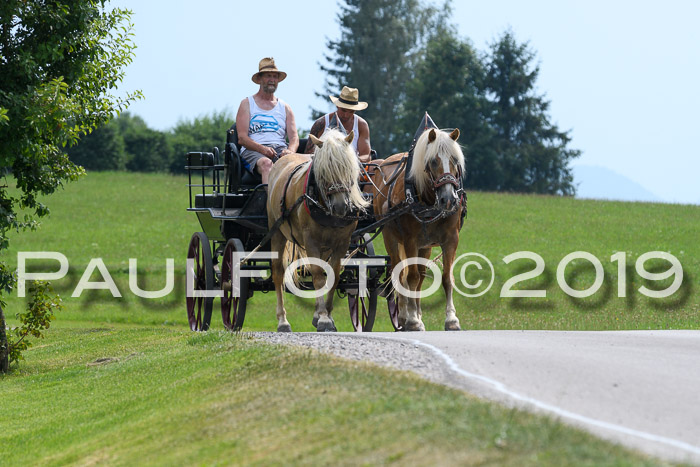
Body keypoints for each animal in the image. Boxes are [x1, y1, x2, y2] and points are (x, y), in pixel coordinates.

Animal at [266, 128, 370, 332]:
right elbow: (317, 275)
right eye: (323, 172)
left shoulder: (342, 242)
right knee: (278, 272)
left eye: (349, 169)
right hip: (277, 232)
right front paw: (323, 318)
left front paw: (326, 313)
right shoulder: (311, 240)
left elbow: (333, 275)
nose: (340, 207)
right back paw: (283, 320)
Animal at [372, 122, 464, 330]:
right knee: (400, 273)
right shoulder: (410, 240)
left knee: (420, 277)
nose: (449, 199)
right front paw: (412, 319)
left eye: (455, 160)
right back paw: (404, 316)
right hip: (391, 239)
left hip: (425, 246)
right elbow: (410, 277)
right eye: (433, 162)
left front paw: (451, 319)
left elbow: (447, 278)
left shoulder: (451, 239)